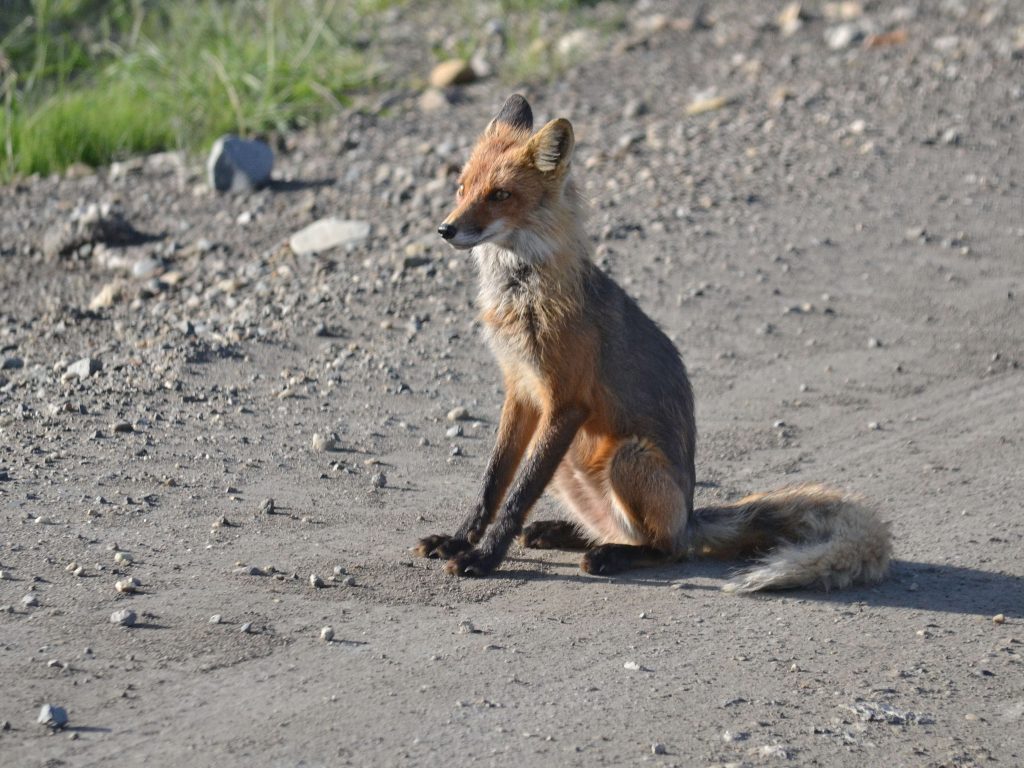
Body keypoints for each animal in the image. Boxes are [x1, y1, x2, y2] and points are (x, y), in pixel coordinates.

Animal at [411, 93, 892, 593]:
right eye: (462, 188)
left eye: (500, 195)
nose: (446, 229)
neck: (522, 296)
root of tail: (690, 516)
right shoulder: (521, 392)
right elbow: (493, 485)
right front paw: (459, 540)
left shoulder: (565, 401)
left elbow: (517, 495)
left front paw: (484, 557)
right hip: (570, 462)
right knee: (614, 530)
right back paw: (566, 533)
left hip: (627, 457)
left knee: (668, 549)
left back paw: (613, 555)